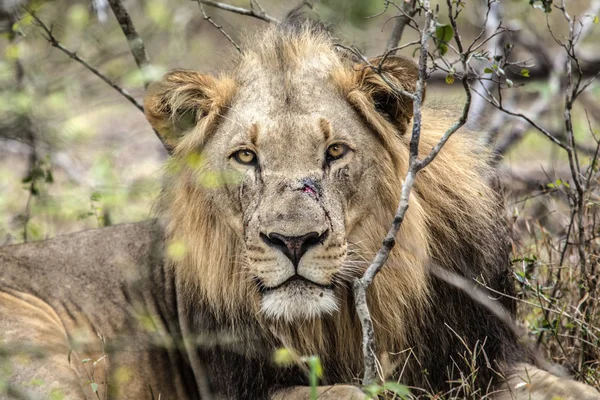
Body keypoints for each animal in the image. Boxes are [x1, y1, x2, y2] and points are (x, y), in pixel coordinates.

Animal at [1, 17, 600, 398]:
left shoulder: (484, 361)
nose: (293, 242)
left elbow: (568, 386)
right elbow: (348, 394)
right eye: (246, 156)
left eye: (334, 151)